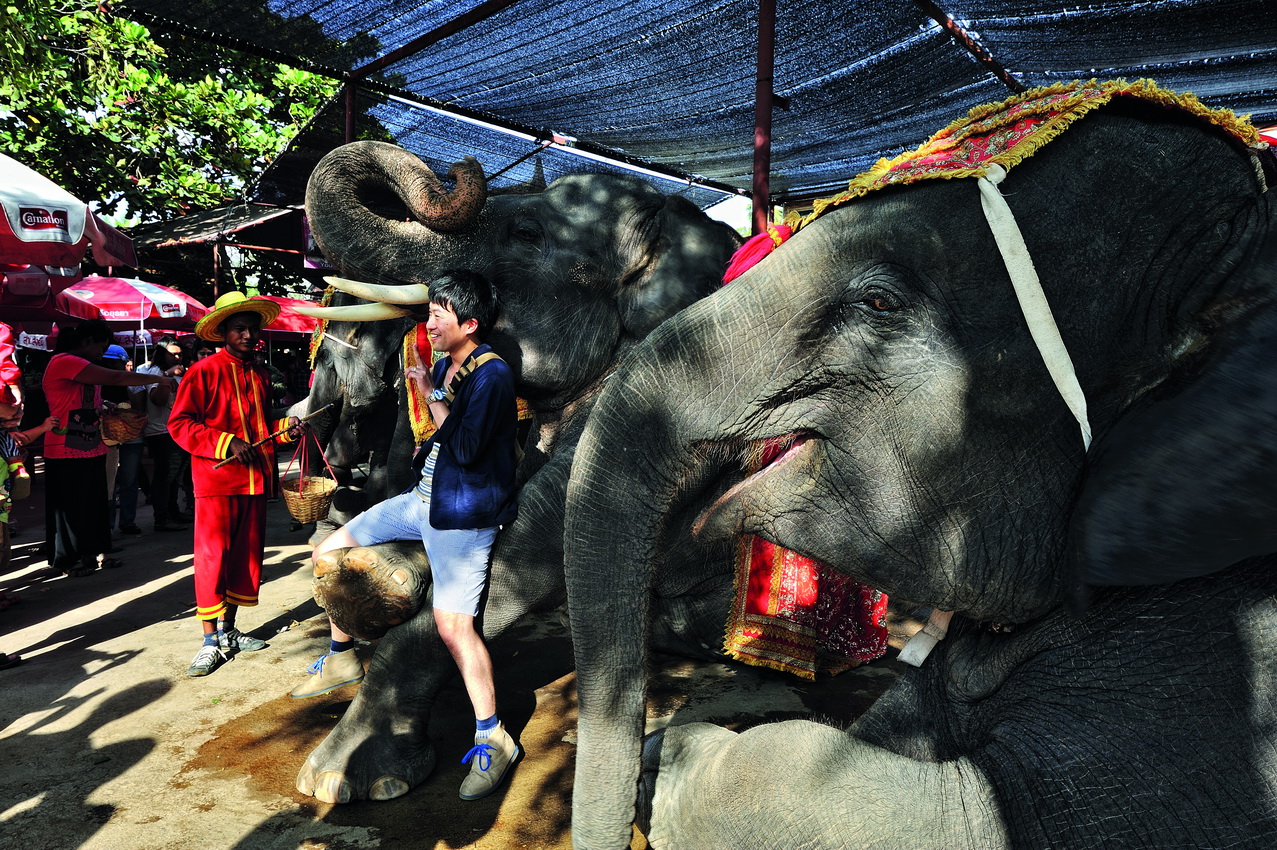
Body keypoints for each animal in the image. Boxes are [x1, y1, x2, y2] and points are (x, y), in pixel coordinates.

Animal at [291, 140, 742, 803]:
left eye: (526, 233)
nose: (458, 170)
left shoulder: (676, 391)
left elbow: (536, 538)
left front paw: (339, 777)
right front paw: (367, 579)